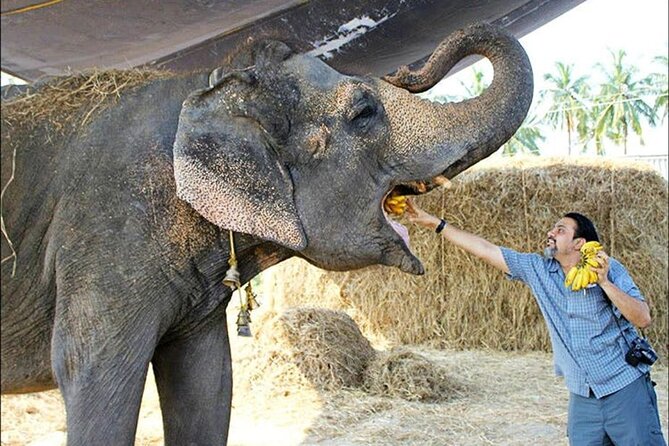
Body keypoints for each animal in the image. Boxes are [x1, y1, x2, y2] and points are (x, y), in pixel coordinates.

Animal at [1, 22, 532, 445]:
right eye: (364, 111)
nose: (406, 69)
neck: (209, 85)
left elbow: (208, 378)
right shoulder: (105, 236)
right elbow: (93, 372)